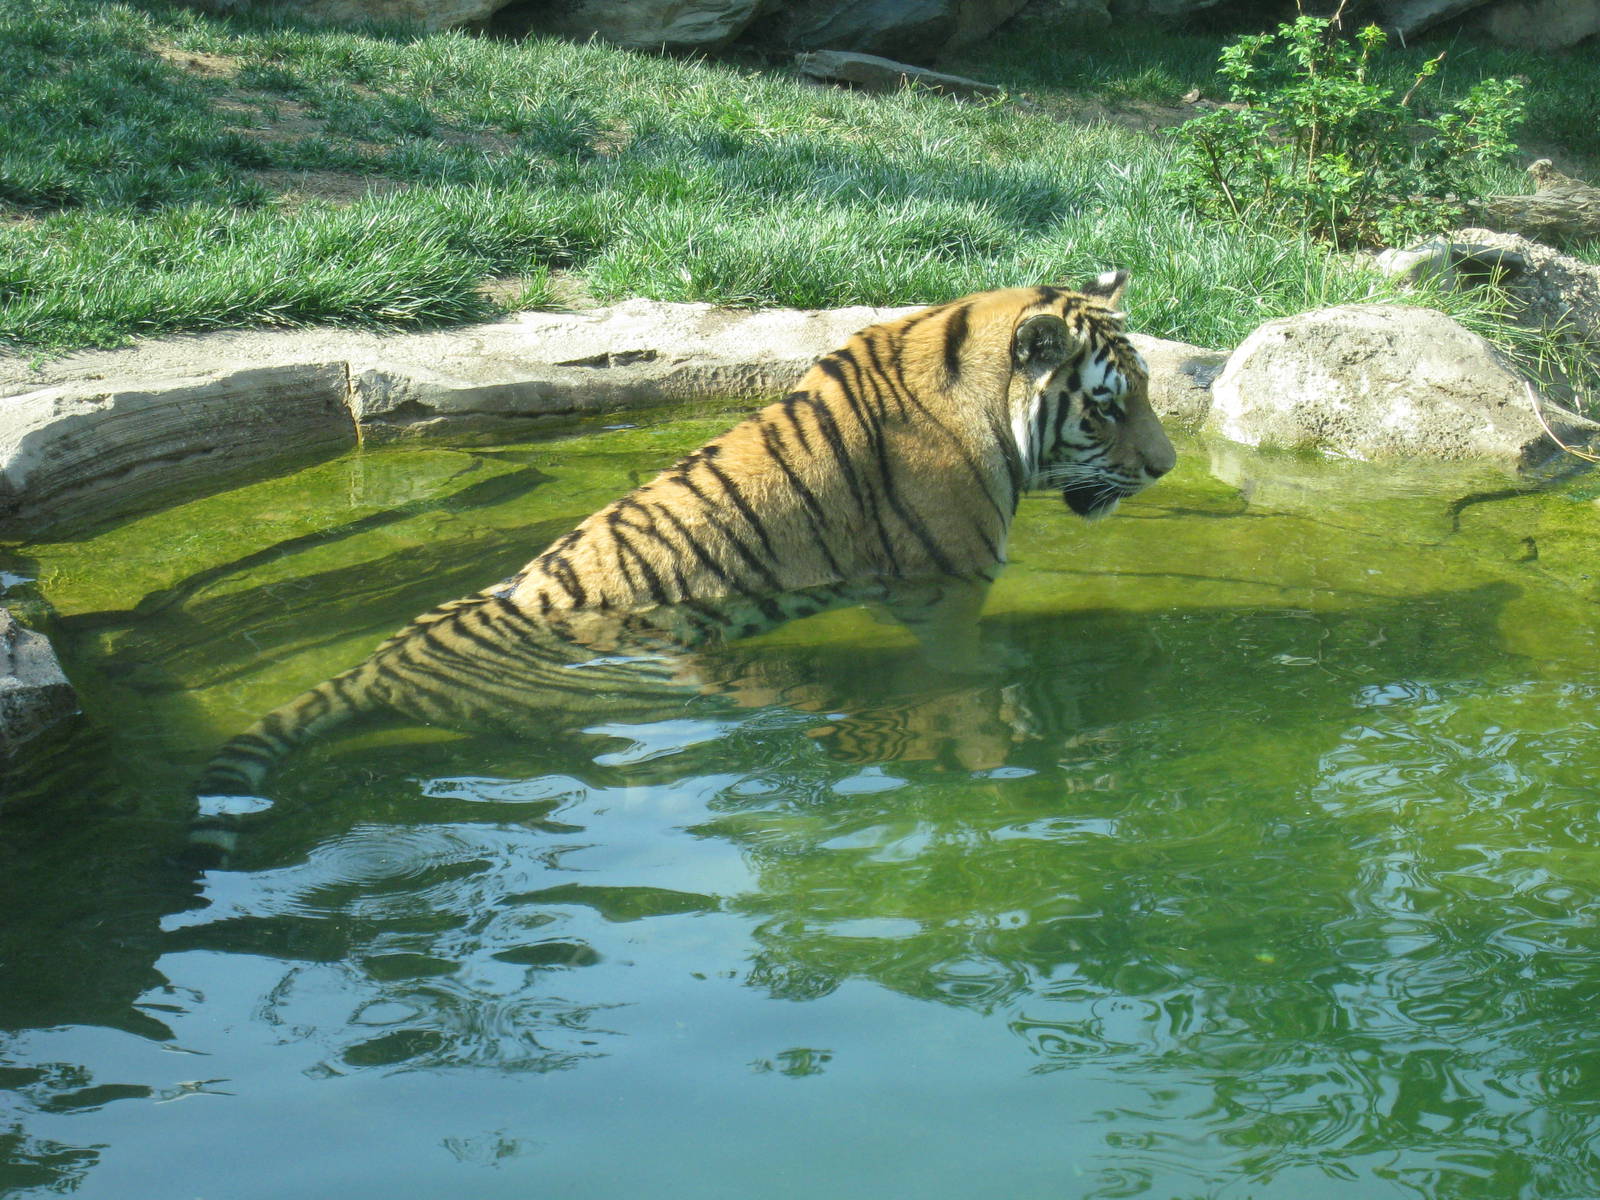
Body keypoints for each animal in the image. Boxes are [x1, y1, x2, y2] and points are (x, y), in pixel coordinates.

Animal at [195, 272, 1175, 812]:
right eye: (1108, 406)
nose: (1167, 466)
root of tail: (381, 664)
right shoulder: (950, 591)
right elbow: (967, 678)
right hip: (636, 687)